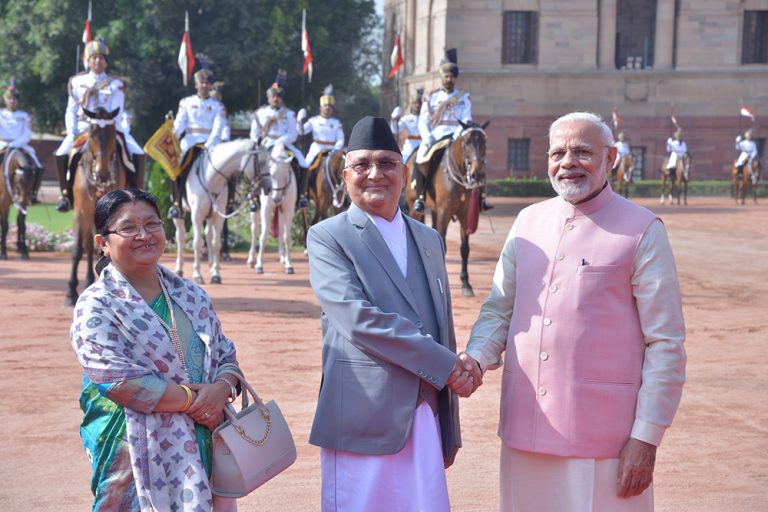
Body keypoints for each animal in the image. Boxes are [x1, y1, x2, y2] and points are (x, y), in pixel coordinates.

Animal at [66, 107, 127, 306]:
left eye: (113, 132)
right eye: (92, 132)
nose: (103, 172)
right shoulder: (81, 211)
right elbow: (78, 249)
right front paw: (71, 292)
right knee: (87, 244)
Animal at [172, 138, 262, 286]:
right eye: (260, 161)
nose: (265, 187)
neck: (211, 178)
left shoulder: (218, 214)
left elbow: (216, 243)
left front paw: (215, 274)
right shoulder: (196, 215)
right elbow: (197, 242)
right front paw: (197, 275)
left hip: (210, 215)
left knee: (208, 235)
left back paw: (210, 265)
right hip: (180, 213)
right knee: (180, 236)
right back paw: (179, 268)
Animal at [252, 142, 300, 274]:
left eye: (286, 175)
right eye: (272, 175)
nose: (276, 199)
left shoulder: (288, 209)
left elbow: (286, 236)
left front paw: (289, 264)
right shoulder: (266, 208)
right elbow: (263, 236)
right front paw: (259, 265)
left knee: (280, 230)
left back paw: (283, 257)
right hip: (256, 209)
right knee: (254, 230)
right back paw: (251, 259)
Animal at [402, 120, 486, 296]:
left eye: (484, 142)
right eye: (466, 142)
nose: (478, 174)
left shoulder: (465, 216)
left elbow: (464, 249)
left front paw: (466, 283)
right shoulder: (444, 213)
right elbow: (443, 246)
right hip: (416, 209)